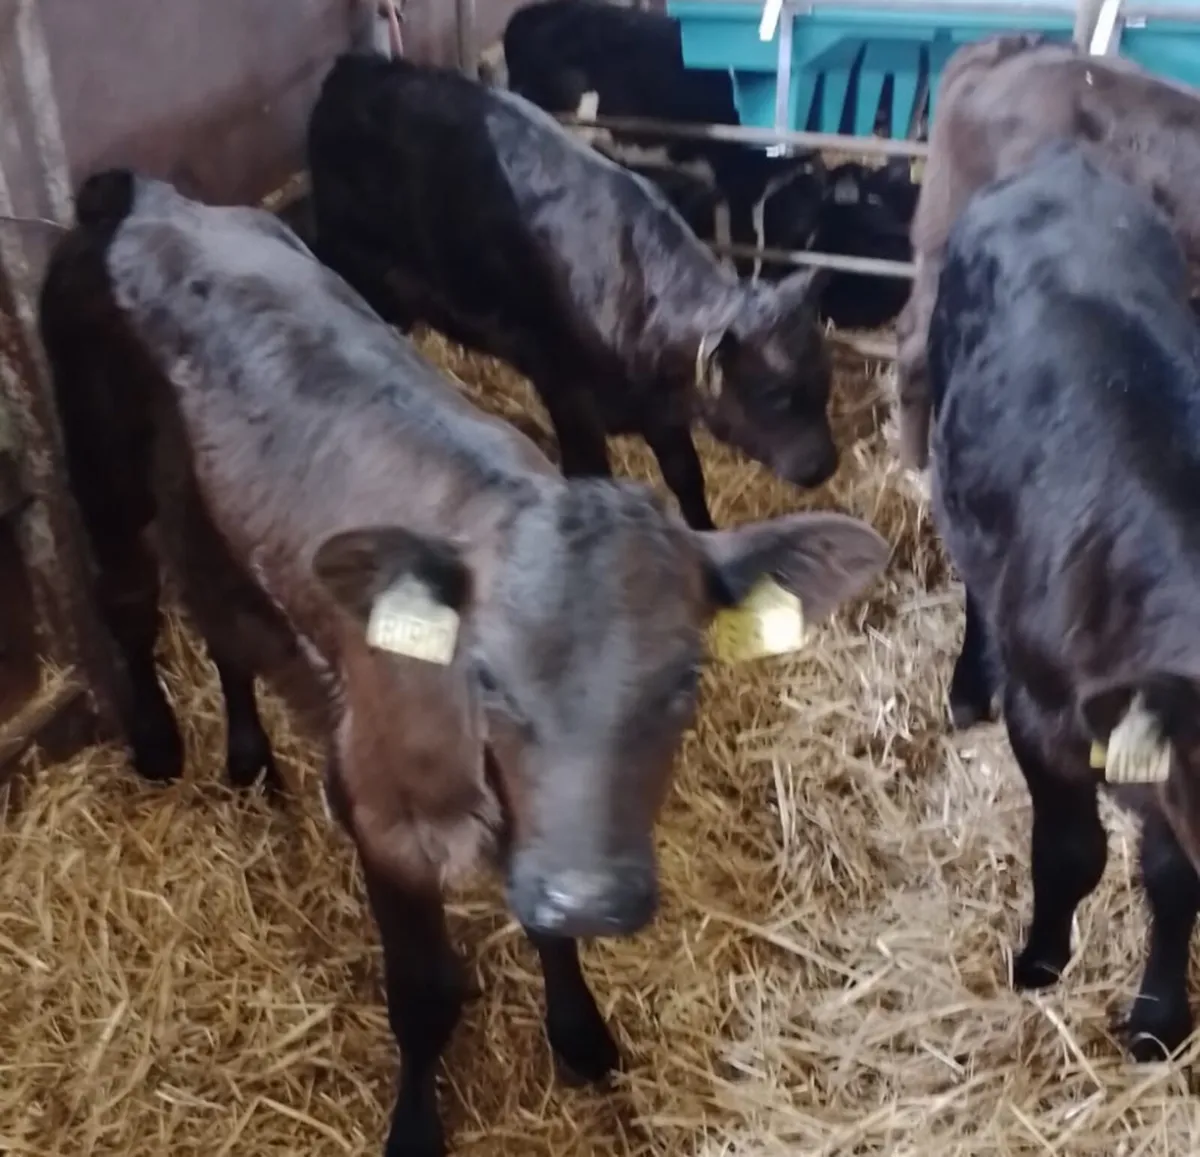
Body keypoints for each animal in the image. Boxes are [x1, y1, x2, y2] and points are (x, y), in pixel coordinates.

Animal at [39, 168, 890, 1157]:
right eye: (486, 677)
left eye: (685, 677)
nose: (594, 895)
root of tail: (145, 196)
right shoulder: (383, 815)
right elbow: (424, 993)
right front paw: (416, 1123)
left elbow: (541, 926)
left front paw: (580, 1032)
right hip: (102, 466)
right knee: (129, 599)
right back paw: (156, 746)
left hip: (206, 510)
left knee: (219, 616)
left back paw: (248, 757)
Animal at [306, 49, 840, 533]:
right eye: (773, 393)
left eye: (824, 382)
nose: (825, 465)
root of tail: (357, 66)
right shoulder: (567, 391)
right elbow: (589, 473)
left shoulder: (661, 411)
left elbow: (686, 475)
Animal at [927, 140, 1200, 1062]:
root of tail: (1059, 164)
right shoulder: (1045, 716)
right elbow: (1071, 852)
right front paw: (1040, 960)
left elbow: (1173, 879)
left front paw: (1158, 1018)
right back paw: (966, 684)